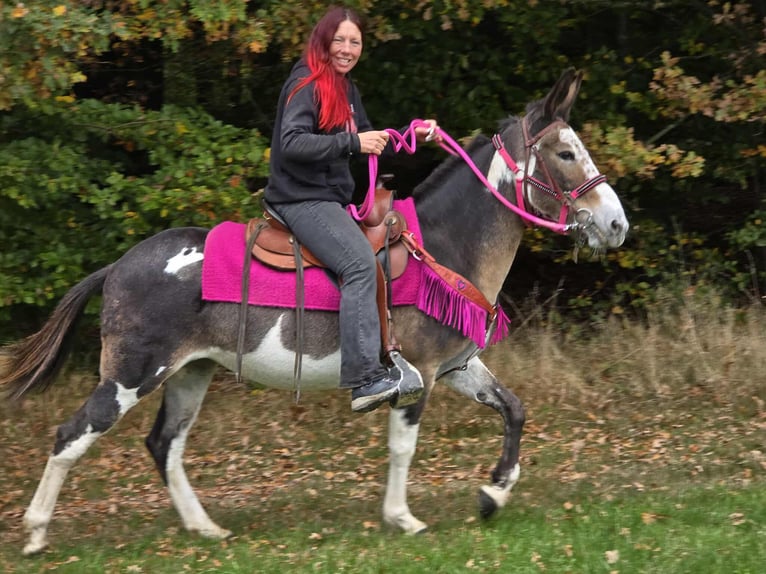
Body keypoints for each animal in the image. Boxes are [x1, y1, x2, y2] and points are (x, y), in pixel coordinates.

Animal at [0, 68, 628, 556]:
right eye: (566, 153)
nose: (617, 224)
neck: (445, 245)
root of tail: (117, 267)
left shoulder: (456, 367)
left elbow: (514, 411)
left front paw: (493, 494)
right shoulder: (419, 372)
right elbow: (403, 446)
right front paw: (403, 517)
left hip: (190, 372)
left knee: (165, 445)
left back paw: (205, 528)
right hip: (130, 374)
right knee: (72, 435)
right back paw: (36, 533)